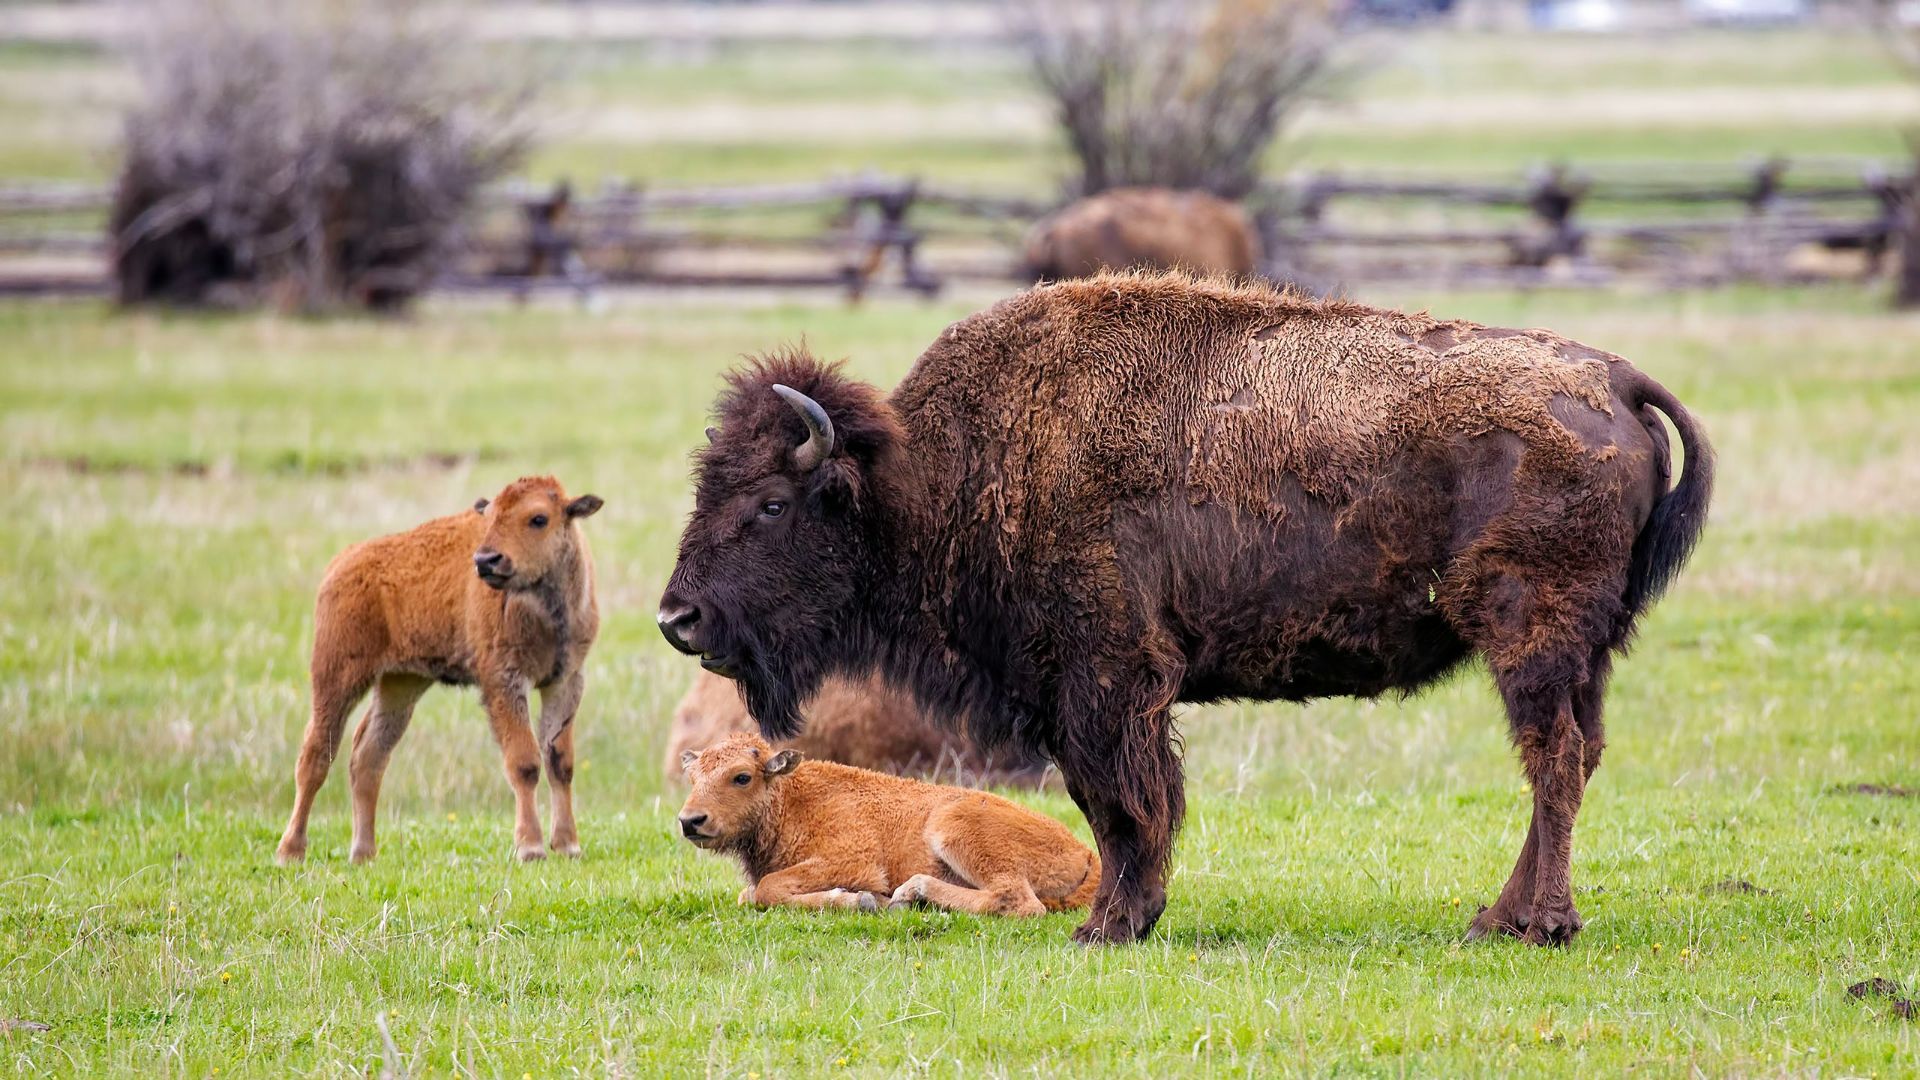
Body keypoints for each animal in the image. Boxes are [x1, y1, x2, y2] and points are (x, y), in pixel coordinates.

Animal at [659, 272, 1712, 945]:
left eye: (771, 503)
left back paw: (1538, 924)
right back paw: (1498, 918)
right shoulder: (1091, 694)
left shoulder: (1104, 682)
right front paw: (1131, 916)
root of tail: (1613, 378)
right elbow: (1125, 802)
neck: (932, 472)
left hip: (1529, 637)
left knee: (1553, 759)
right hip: (1583, 652)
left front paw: (1110, 925)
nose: (679, 621)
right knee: (1574, 754)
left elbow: (1123, 800)